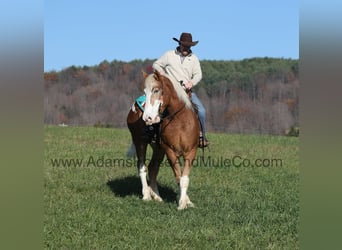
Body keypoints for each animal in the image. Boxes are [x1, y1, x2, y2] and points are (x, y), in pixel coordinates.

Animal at [127, 70, 199, 209]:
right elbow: (178, 176)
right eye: (145, 92)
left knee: (152, 168)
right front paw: (182, 203)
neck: (179, 120)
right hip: (140, 142)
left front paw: (187, 202)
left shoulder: (191, 151)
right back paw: (146, 195)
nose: (148, 118)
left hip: (158, 148)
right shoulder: (170, 151)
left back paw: (157, 196)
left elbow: (184, 178)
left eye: (156, 90)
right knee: (142, 167)